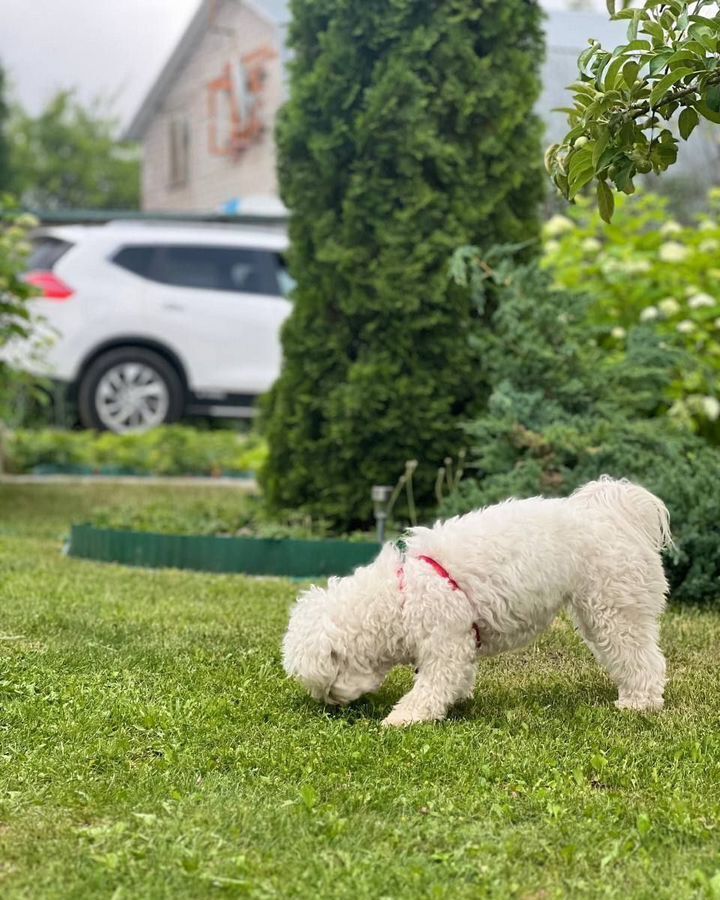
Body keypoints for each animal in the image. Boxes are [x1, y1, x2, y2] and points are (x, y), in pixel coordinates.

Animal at [282, 478, 668, 724]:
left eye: (331, 680)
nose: (332, 705)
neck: (402, 596)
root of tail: (612, 514)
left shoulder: (445, 640)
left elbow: (433, 685)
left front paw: (405, 717)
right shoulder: (460, 637)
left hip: (614, 607)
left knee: (642, 658)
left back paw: (640, 702)